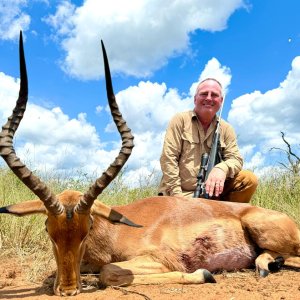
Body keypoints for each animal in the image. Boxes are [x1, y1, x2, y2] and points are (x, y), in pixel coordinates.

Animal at [0, 33, 300, 298]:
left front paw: (204, 274)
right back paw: (268, 265)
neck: (115, 231)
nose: (68, 290)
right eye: (49, 231)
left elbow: (109, 272)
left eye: (86, 231)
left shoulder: (157, 260)